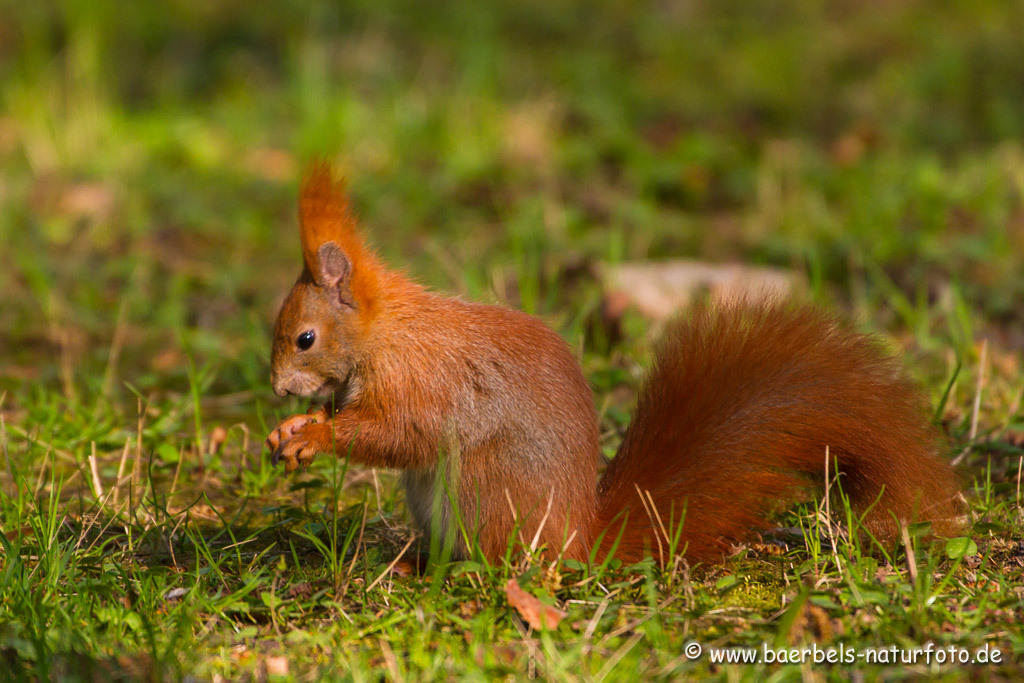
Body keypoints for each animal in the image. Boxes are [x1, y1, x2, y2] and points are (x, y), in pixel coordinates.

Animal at [262, 162, 958, 565]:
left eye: (304, 339)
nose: (276, 388)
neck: (385, 334)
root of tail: (582, 536)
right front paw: (291, 430)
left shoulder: (420, 381)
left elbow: (401, 433)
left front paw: (316, 436)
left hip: (484, 493)